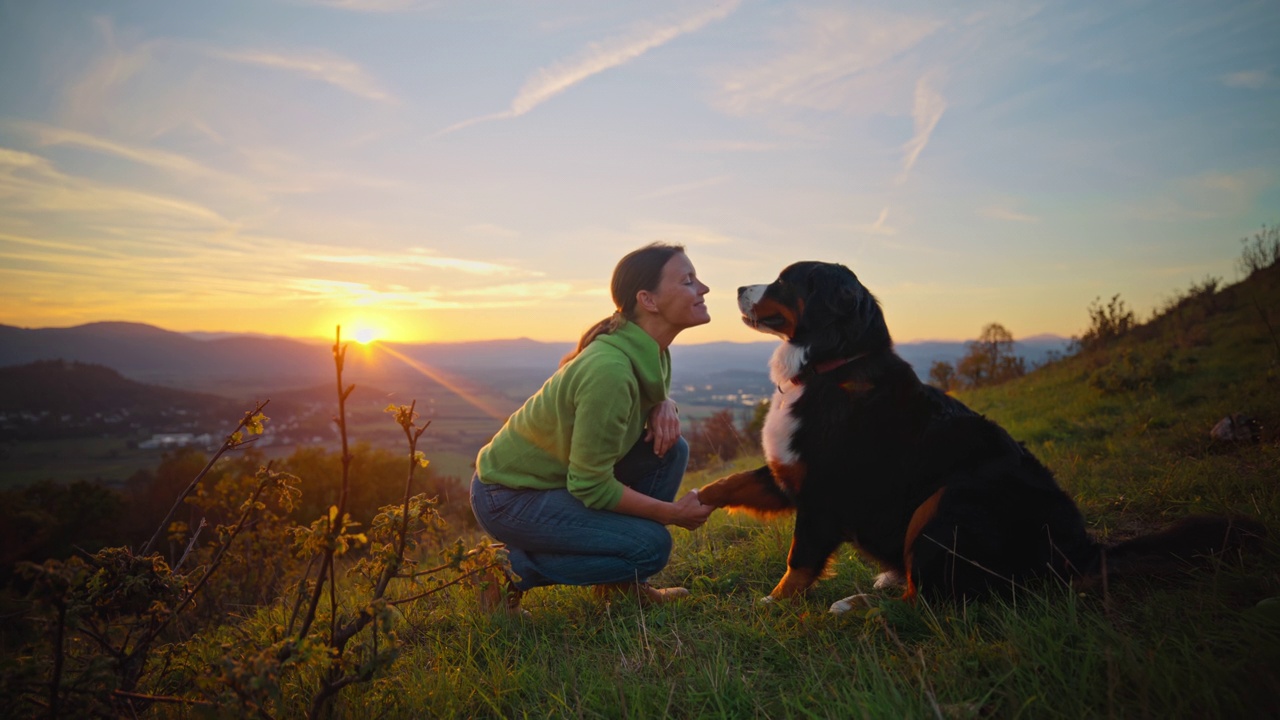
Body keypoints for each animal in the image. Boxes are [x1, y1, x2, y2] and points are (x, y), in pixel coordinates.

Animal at [696, 260, 1264, 607]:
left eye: (785, 280)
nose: (736, 287)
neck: (831, 367)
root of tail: (1078, 550)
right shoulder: (789, 473)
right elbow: (731, 483)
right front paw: (695, 501)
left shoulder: (822, 494)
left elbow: (800, 561)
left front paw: (773, 604)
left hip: (948, 501)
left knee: (925, 603)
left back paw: (860, 606)